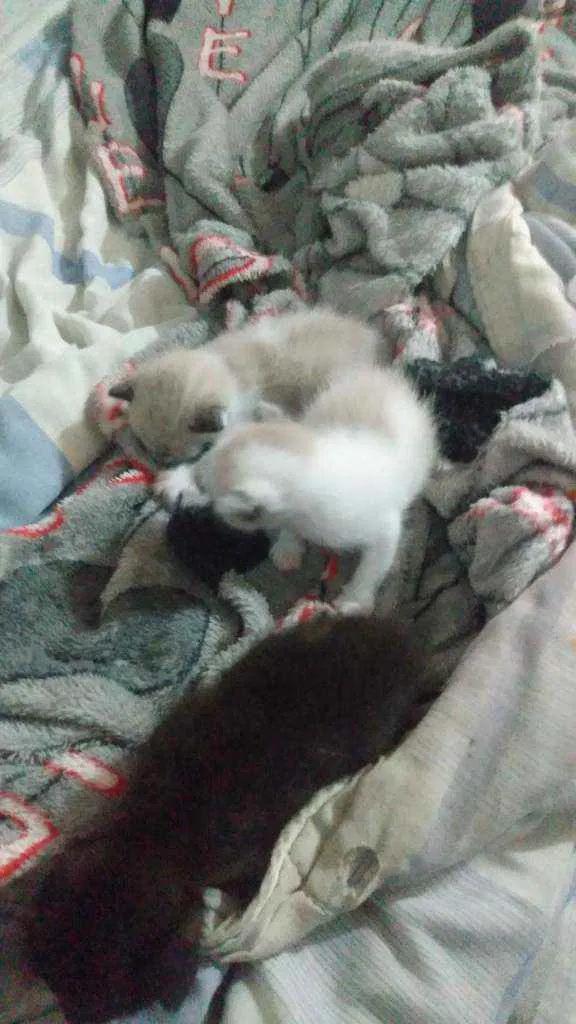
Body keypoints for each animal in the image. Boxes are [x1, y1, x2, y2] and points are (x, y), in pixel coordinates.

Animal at [158, 367, 437, 612]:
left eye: (205, 486)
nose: (198, 477)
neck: (315, 460)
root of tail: (383, 377)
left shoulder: (384, 525)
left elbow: (375, 564)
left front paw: (355, 599)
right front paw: (288, 547)